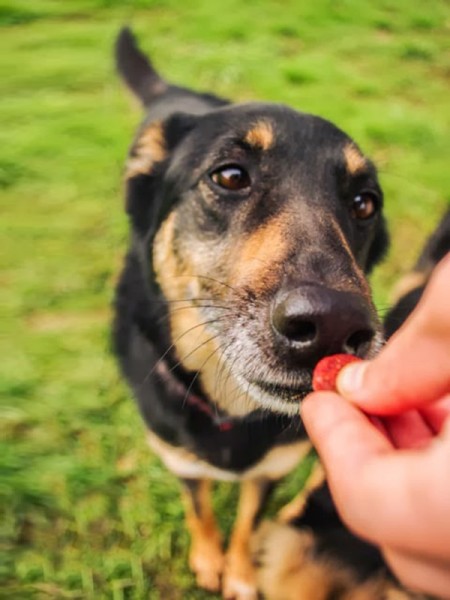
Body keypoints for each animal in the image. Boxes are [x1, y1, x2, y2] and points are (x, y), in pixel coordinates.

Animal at [112, 27, 394, 596]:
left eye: (364, 204)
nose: (333, 324)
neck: (229, 408)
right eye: (229, 176)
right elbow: (200, 512)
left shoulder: (272, 471)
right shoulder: (181, 462)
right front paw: (208, 560)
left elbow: (246, 522)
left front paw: (239, 574)